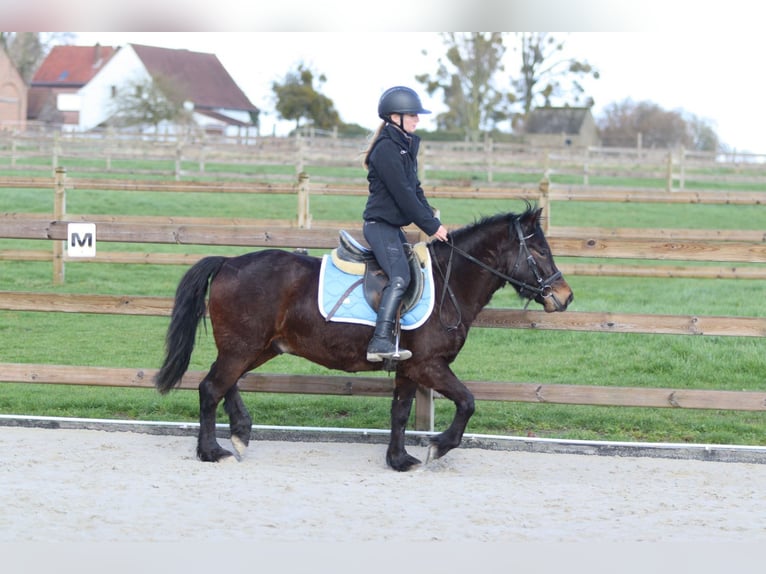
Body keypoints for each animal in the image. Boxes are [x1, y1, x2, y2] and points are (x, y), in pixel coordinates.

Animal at [154, 205, 573, 471]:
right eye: (539, 251)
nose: (565, 296)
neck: (449, 282)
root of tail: (228, 262)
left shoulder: (409, 368)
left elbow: (400, 412)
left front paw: (399, 460)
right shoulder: (429, 365)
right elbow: (467, 403)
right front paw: (437, 447)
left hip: (257, 347)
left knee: (227, 383)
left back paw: (241, 432)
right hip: (242, 347)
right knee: (211, 387)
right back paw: (212, 451)